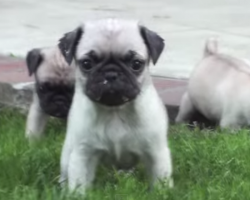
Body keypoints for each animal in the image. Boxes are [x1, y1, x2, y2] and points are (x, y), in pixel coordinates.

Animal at [57, 18, 173, 194]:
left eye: (136, 64)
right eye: (86, 64)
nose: (111, 74)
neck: (115, 112)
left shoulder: (156, 153)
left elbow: (161, 182)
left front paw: (162, 193)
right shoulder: (83, 154)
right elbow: (79, 184)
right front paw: (76, 195)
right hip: (67, 155)